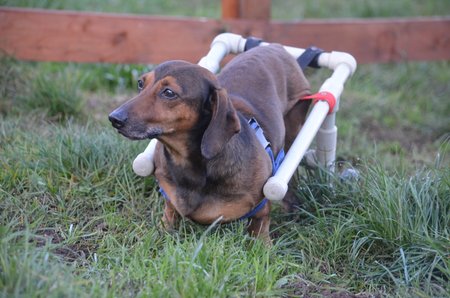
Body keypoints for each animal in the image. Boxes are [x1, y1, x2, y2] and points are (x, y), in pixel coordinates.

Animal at [110, 45, 310, 243]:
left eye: (169, 93)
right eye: (140, 83)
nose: (114, 118)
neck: (190, 166)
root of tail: (275, 47)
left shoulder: (261, 208)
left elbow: (259, 228)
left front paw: (263, 246)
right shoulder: (170, 200)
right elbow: (168, 216)